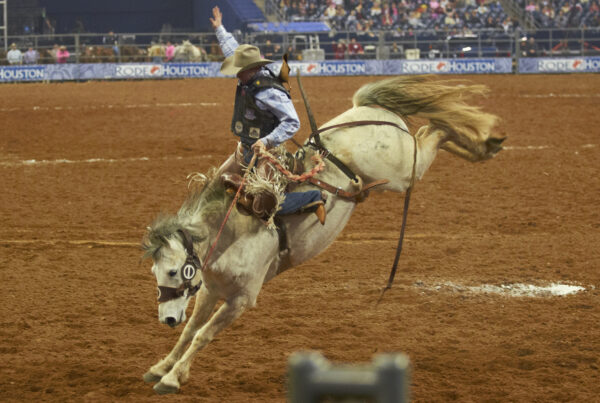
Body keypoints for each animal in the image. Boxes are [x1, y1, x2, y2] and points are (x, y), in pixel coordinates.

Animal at [141, 76, 502, 394]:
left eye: (173, 271)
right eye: (155, 271)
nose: (166, 319)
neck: (232, 232)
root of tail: (368, 110)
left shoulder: (241, 298)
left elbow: (203, 335)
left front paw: (172, 378)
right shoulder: (211, 289)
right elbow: (191, 330)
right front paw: (161, 367)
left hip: (403, 172)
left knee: (435, 130)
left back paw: (486, 142)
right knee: (432, 130)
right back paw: (483, 147)